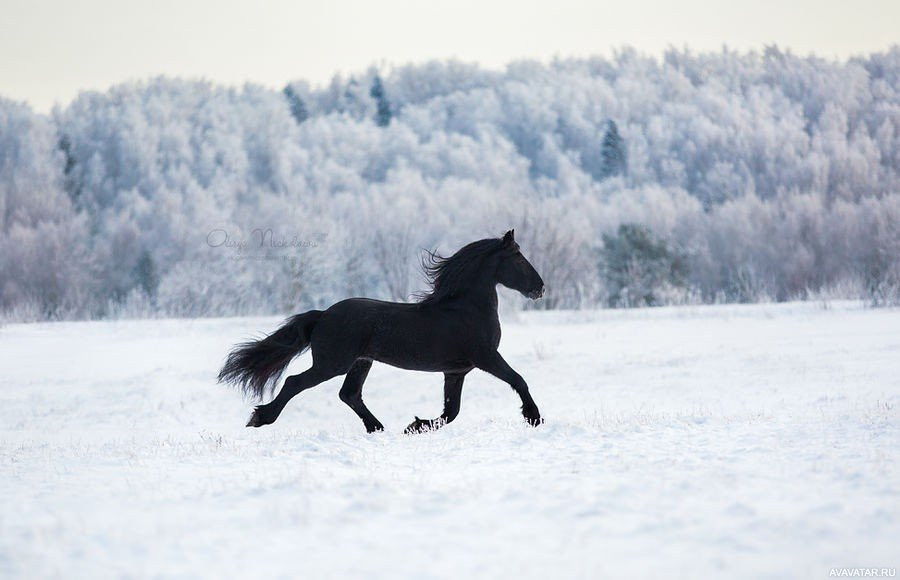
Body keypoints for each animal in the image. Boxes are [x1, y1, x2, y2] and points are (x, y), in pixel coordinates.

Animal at [219, 229, 544, 432]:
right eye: (517, 256)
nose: (540, 288)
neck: (464, 308)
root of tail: (323, 315)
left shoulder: (456, 371)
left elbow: (451, 412)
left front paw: (415, 426)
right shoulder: (485, 357)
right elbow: (518, 380)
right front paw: (534, 417)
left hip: (361, 362)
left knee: (349, 394)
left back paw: (377, 427)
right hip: (333, 363)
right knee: (294, 382)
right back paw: (260, 417)